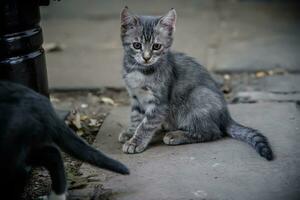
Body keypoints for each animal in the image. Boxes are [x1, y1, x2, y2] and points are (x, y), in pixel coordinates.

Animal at [118, 7, 274, 160]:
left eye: (156, 46)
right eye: (137, 45)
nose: (146, 58)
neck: (139, 70)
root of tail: (226, 117)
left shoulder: (160, 102)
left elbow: (147, 124)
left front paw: (135, 142)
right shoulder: (135, 96)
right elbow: (136, 116)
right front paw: (131, 132)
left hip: (197, 95)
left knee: (212, 131)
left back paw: (176, 135)